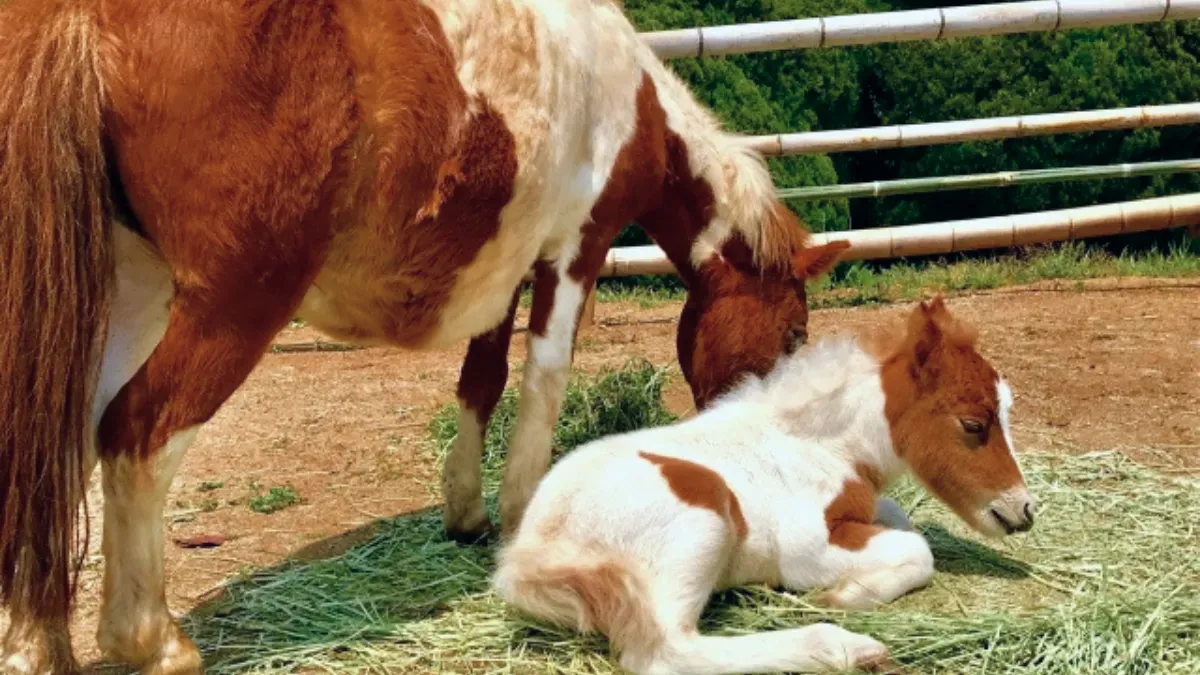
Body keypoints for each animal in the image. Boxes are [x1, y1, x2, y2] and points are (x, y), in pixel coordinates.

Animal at [0, 1, 844, 672]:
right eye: (794, 329)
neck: (630, 100)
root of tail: (79, 15)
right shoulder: (575, 248)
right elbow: (543, 379)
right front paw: (518, 512)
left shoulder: (505, 267)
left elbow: (482, 380)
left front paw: (466, 510)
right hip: (231, 306)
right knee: (135, 433)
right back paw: (151, 641)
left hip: (125, 290)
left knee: (59, 443)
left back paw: (36, 645)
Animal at [492, 297, 1036, 672]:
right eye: (973, 424)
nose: (1025, 510)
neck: (817, 444)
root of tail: (531, 555)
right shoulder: (806, 549)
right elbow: (918, 551)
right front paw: (840, 597)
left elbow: (900, 519)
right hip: (703, 514)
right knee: (668, 652)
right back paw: (847, 647)